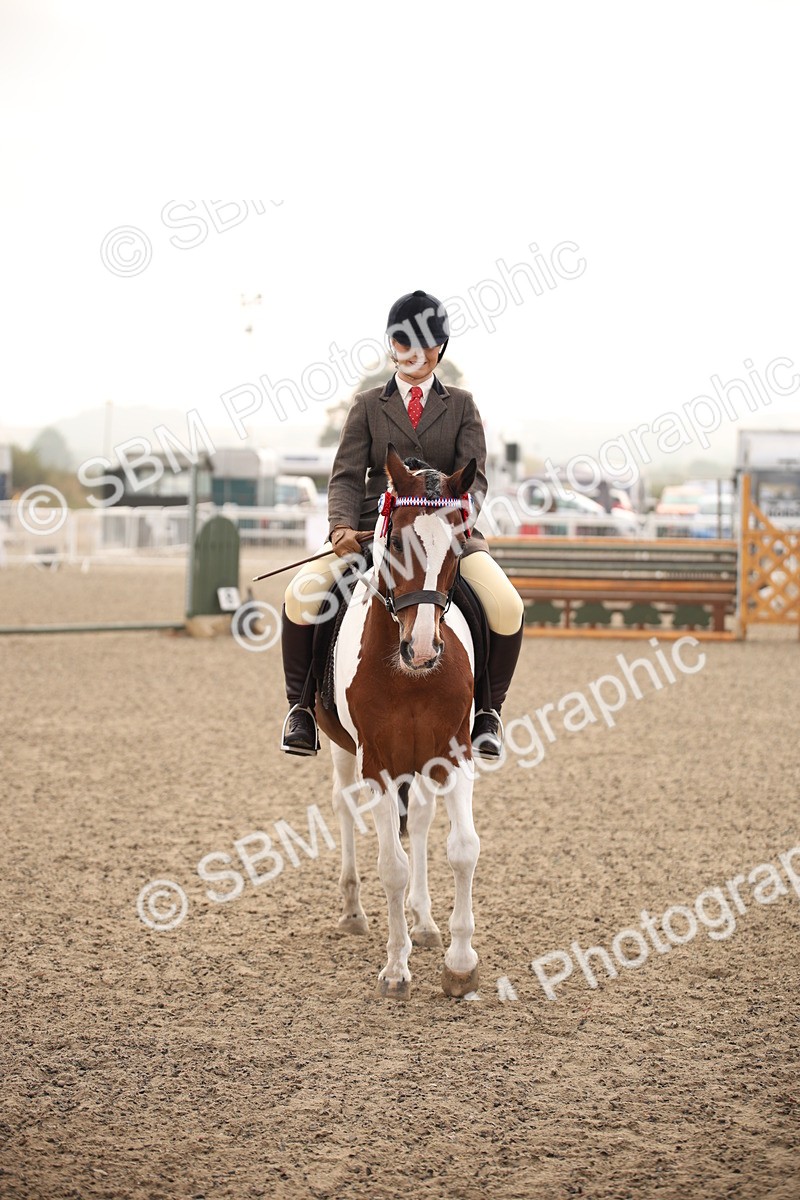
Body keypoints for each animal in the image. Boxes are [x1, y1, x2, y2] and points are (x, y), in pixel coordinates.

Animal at [316, 445, 481, 1001]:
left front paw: (460, 963)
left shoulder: (454, 753)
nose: (423, 648)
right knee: (343, 806)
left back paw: (425, 923)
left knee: (425, 821)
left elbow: (462, 849)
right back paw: (351, 911)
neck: (410, 676)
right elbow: (392, 867)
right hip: (343, 750)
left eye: (457, 545)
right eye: (397, 544)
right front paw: (395, 969)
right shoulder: (379, 764)